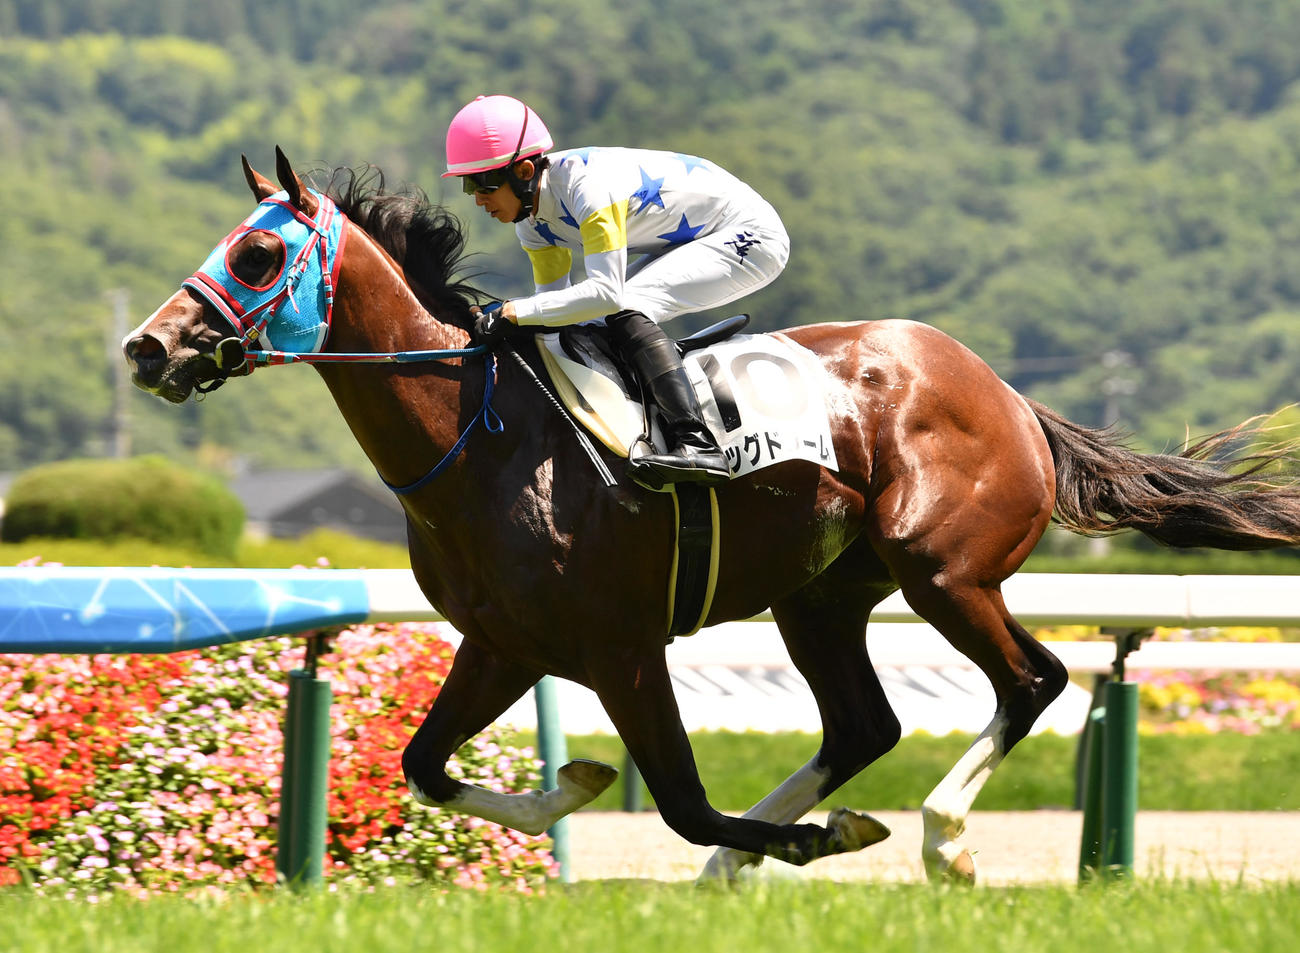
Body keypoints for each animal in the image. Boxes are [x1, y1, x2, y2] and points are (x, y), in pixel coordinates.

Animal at [123, 148, 1300, 884]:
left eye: (257, 255)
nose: (145, 347)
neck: (483, 440)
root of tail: (1010, 396)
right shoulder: (504, 641)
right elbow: (425, 765)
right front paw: (580, 782)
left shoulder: (623, 645)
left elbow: (682, 796)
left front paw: (809, 841)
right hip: (822, 595)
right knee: (864, 723)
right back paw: (747, 858)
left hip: (944, 569)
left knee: (1033, 681)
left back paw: (937, 839)